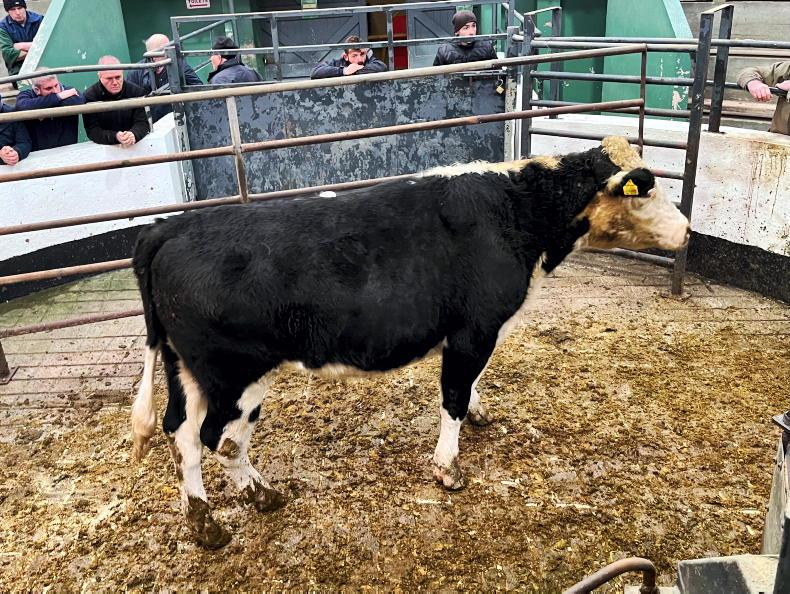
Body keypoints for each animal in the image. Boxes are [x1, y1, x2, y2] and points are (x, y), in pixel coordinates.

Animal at [130, 137, 689, 548]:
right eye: (646, 190)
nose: (687, 230)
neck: (516, 212)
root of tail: (170, 227)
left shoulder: (476, 334)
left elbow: (471, 388)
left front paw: (480, 414)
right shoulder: (473, 330)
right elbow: (453, 397)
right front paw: (447, 467)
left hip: (188, 369)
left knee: (181, 433)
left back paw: (202, 520)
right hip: (236, 374)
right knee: (219, 440)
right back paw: (258, 496)